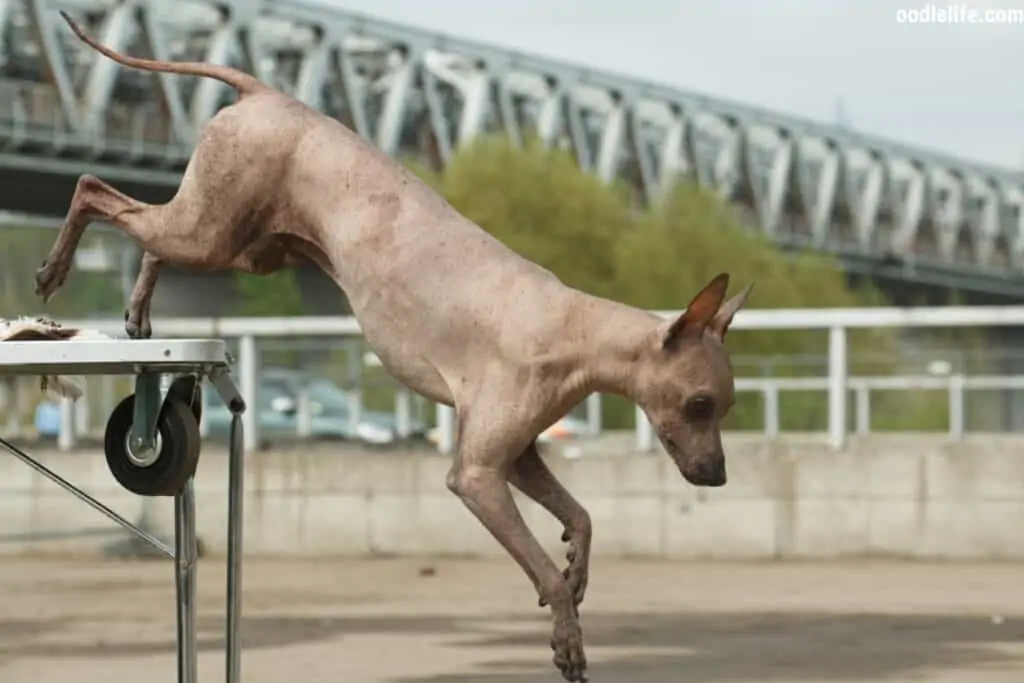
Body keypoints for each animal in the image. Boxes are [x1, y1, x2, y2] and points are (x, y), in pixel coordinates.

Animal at [37, 12, 753, 683]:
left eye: (724, 407)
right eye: (699, 403)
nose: (718, 475)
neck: (573, 327)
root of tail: (268, 93)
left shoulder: (518, 458)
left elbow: (581, 518)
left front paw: (577, 574)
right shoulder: (477, 475)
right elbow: (541, 567)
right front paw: (567, 639)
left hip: (238, 247)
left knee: (148, 238)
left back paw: (138, 308)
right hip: (210, 230)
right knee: (93, 188)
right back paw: (53, 269)